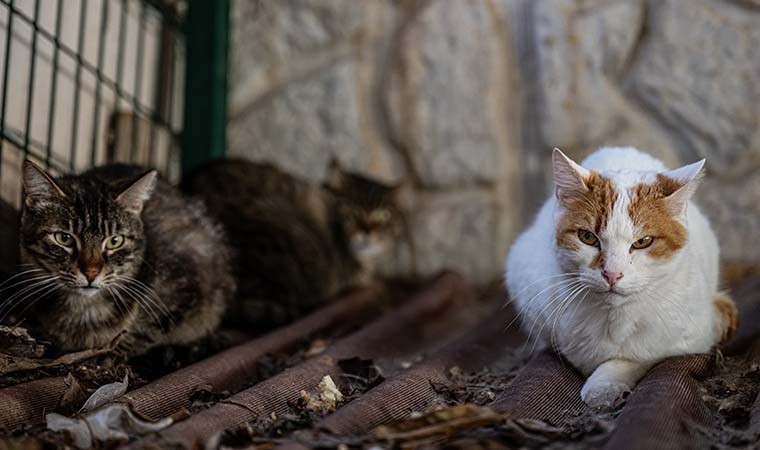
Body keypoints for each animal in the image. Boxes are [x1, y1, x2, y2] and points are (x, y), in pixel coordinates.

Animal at [4, 159, 235, 356]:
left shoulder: (191, 277)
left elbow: (150, 329)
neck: (84, 310)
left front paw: (112, 354)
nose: (91, 273)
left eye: (115, 241)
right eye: (64, 238)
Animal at [504, 149, 736, 412]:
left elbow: (638, 357)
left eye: (643, 241)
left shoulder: (694, 336)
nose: (612, 274)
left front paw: (605, 384)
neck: (611, 318)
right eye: (587, 237)